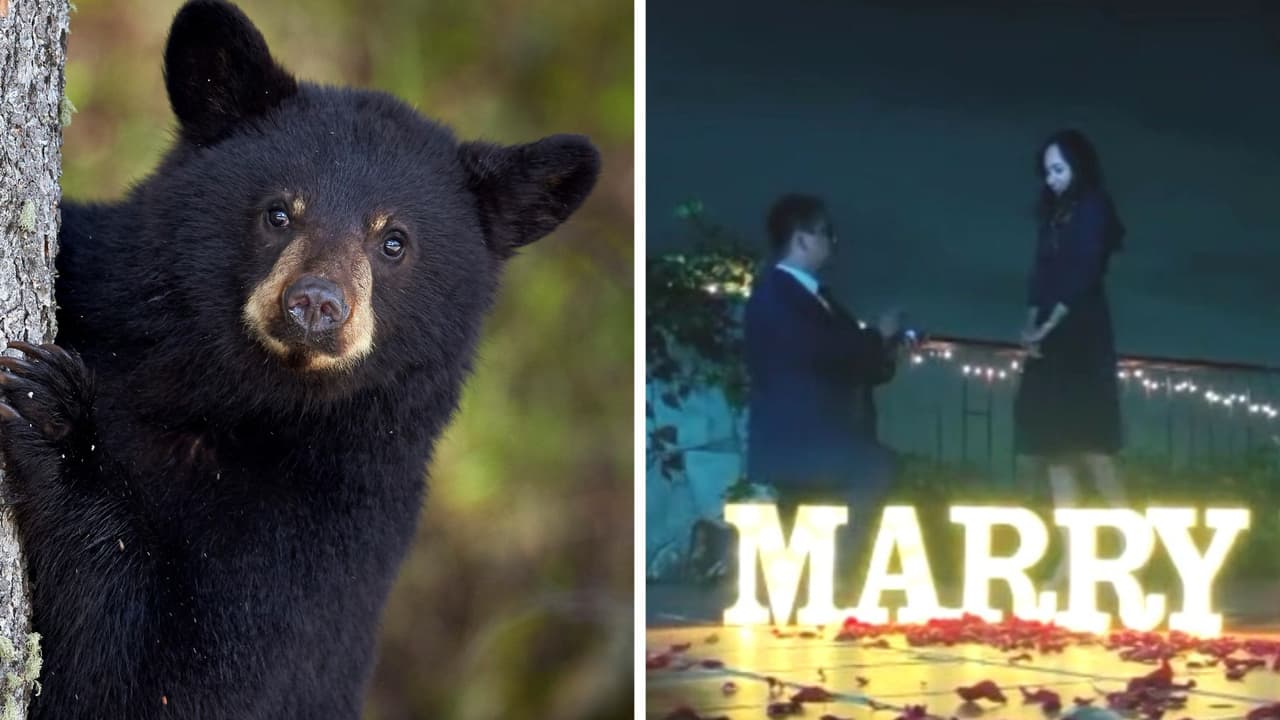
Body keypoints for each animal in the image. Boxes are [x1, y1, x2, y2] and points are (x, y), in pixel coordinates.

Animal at [0, 2, 600, 718]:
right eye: (279, 212)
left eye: (394, 241)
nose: (315, 303)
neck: (225, 398)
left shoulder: (329, 528)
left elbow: (170, 677)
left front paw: (54, 415)